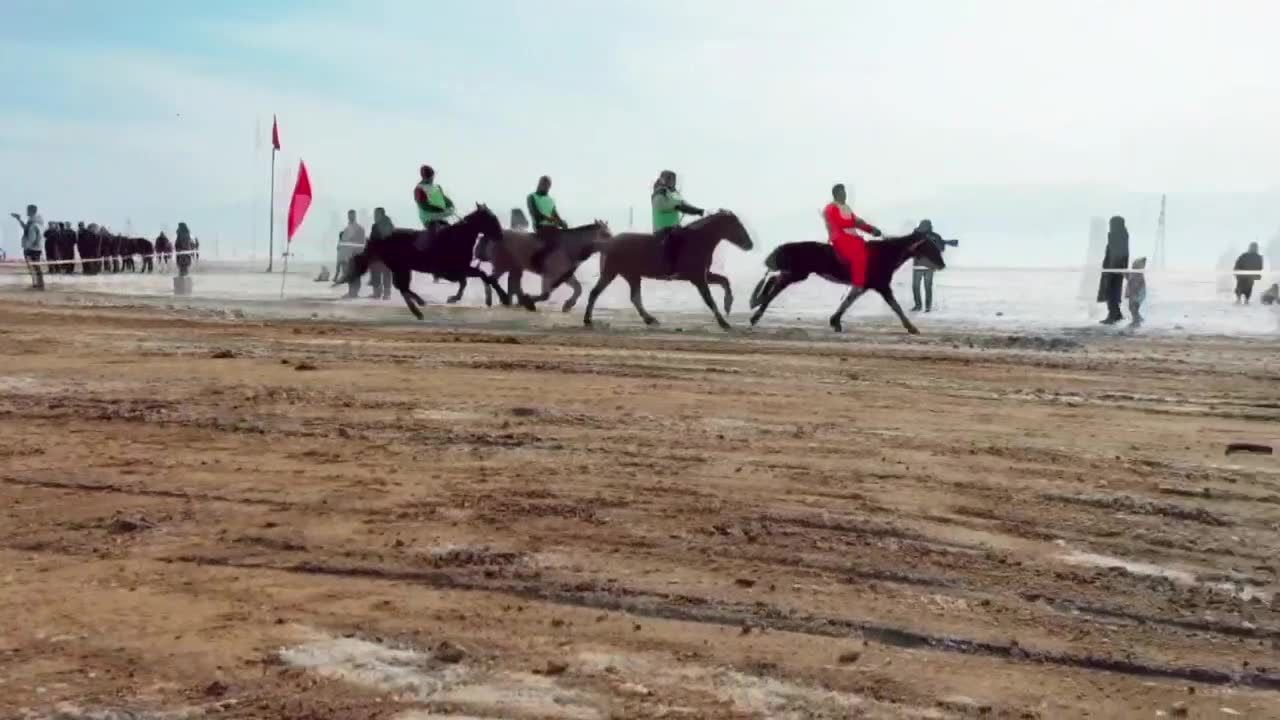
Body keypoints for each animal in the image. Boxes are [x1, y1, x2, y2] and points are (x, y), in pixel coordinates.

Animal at [350, 203, 514, 317]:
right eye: (491, 218)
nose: (500, 235)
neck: (458, 238)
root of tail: (381, 238)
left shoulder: (459, 270)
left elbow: (476, 278)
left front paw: (493, 298)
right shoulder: (454, 271)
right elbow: (480, 277)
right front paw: (503, 297)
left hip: (403, 268)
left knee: (402, 287)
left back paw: (420, 303)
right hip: (400, 267)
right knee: (401, 287)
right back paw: (418, 308)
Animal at [478, 221, 611, 311]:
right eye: (606, 234)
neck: (569, 247)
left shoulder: (565, 276)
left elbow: (578, 289)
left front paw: (568, 305)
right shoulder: (549, 275)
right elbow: (545, 295)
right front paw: (528, 302)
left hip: (512, 267)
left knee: (504, 282)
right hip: (502, 266)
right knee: (491, 279)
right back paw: (495, 299)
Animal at [581, 208, 747, 330]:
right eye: (736, 224)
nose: (749, 244)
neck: (697, 241)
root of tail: (608, 242)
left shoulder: (705, 274)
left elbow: (725, 280)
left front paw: (728, 304)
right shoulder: (698, 278)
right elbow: (710, 299)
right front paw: (723, 322)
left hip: (631, 275)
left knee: (634, 298)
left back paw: (650, 319)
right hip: (611, 273)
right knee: (596, 292)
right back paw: (588, 320)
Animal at [747, 230, 947, 335]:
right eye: (930, 246)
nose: (942, 265)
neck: (886, 254)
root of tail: (789, 246)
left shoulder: (864, 285)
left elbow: (849, 300)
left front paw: (835, 321)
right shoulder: (881, 285)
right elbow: (895, 306)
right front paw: (912, 328)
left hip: (795, 273)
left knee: (774, 279)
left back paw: (756, 304)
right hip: (797, 274)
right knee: (776, 286)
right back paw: (755, 314)